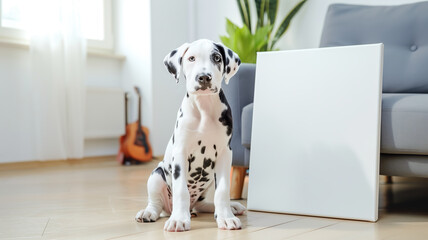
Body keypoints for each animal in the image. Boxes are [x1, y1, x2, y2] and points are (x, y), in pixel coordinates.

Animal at [135, 39, 246, 231]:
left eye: (217, 58)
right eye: (191, 58)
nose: (204, 77)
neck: (204, 108)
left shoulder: (225, 153)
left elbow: (223, 190)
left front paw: (226, 217)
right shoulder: (181, 152)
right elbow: (181, 190)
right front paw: (179, 219)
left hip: (208, 182)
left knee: (203, 204)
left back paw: (230, 207)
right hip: (156, 175)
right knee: (156, 204)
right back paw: (149, 213)